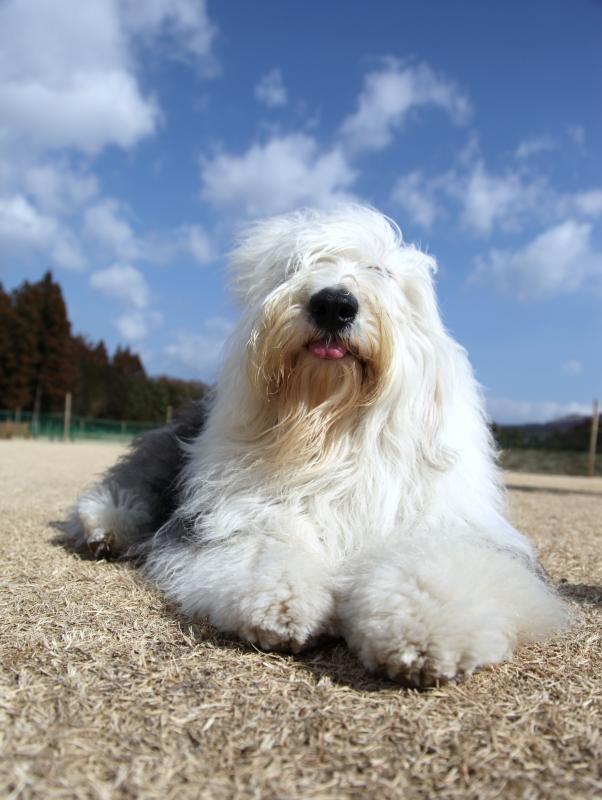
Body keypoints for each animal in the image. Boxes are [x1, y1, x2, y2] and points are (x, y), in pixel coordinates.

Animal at [67, 205, 568, 687]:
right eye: (296, 266)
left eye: (378, 269)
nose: (333, 303)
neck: (330, 429)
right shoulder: (238, 515)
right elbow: (265, 547)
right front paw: (282, 608)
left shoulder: (449, 523)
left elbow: (440, 567)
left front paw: (423, 633)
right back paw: (105, 528)